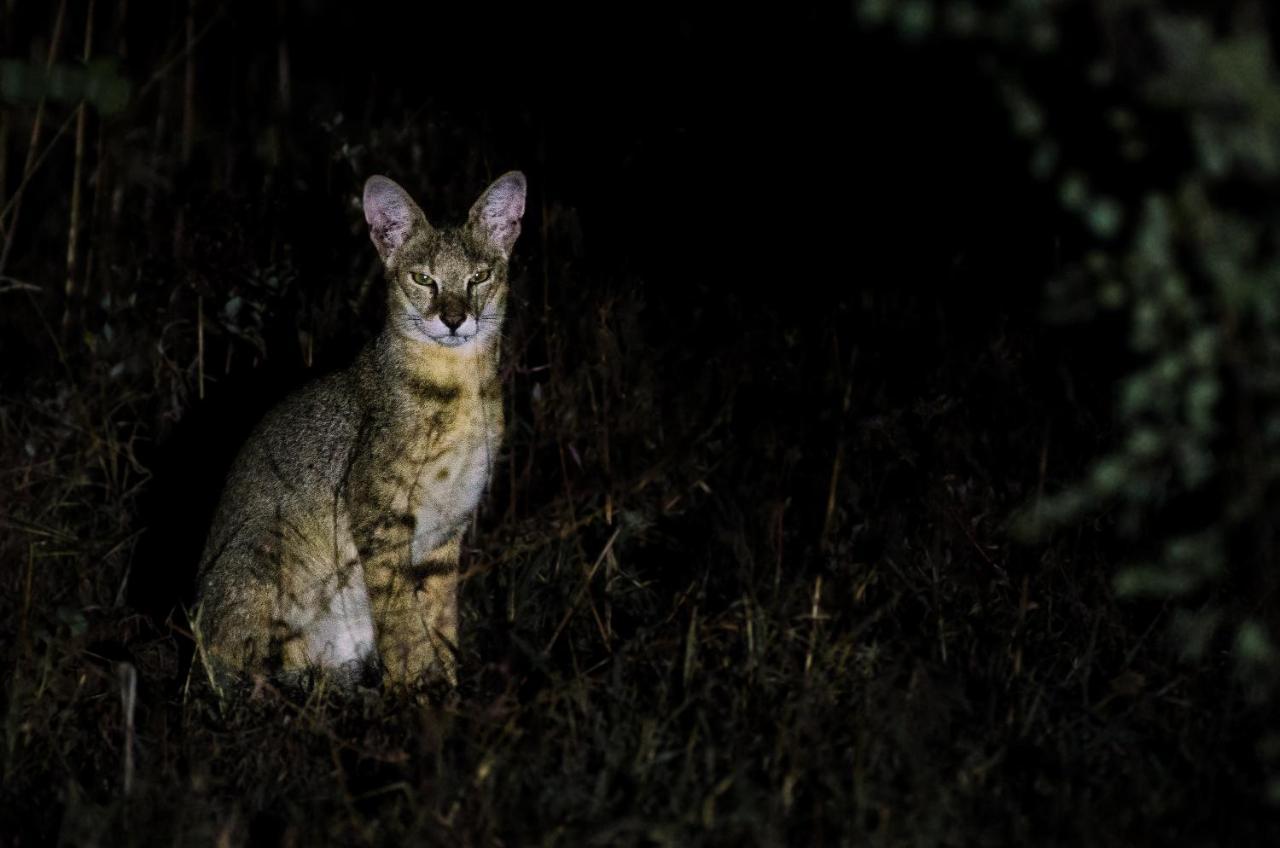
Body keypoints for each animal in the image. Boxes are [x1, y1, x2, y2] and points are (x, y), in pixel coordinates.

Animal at [194, 172, 524, 691]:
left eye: (479, 277)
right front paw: (416, 690)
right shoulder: (381, 519)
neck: (462, 387)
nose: (454, 319)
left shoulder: (444, 533)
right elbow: (403, 626)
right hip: (268, 555)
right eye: (423, 278)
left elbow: (441, 621)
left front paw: (448, 689)